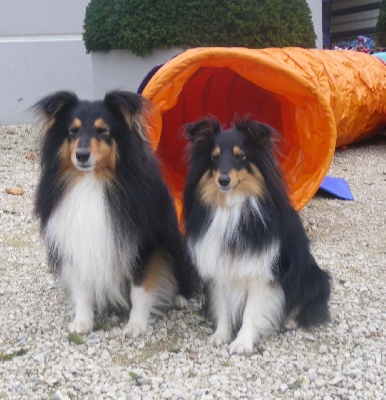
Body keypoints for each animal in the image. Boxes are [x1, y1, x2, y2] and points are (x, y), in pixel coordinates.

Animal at [34, 90, 195, 334]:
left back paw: (179, 298)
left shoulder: (144, 246)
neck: (92, 181)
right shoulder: (77, 242)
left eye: (103, 130)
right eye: (73, 131)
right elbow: (83, 288)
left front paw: (135, 325)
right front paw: (82, 322)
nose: (82, 155)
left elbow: (140, 290)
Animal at [182, 116, 330, 354]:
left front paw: (242, 343)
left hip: (312, 276)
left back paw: (291, 321)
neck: (232, 206)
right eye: (214, 157)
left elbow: (252, 312)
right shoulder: (219, 267)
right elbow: (223, 306)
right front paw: (220, 336)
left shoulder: (262, 274)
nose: (223, 180)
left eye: (240, 156)